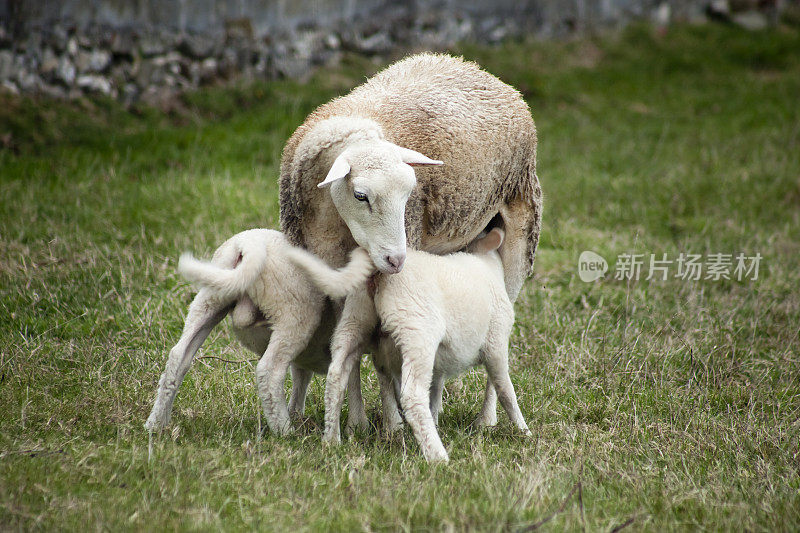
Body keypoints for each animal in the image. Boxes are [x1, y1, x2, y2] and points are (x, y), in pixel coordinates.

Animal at [144, 227, 376, 434]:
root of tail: (248, 246)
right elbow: (352, 377)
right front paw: (358, 427)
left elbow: (302, 377)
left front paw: (297, 413)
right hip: (294, 312)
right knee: (269, 371)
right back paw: (285, 432)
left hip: (211, 298)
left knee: (178, 355)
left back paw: (156, 423)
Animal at [288, 227, 532, 460]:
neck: (488, 264)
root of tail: (378, 272)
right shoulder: (496, 343)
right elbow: (505, 389)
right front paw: (523, 430)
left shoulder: (439, 362)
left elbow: (436, 389)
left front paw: (435, 418)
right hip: (417, 330)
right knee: (412, 395)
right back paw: (437, 456)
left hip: (354, 319)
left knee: (336, 377)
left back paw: (331, 440)